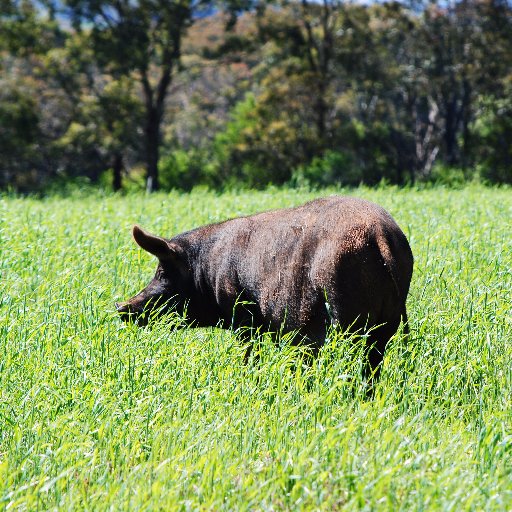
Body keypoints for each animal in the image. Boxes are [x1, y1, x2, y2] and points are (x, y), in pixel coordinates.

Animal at [116, 196, 412, 376]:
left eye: (162, 272)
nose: (121, 307)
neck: (207, 270)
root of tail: (380, 234)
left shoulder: (241, 312)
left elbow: (249, 353)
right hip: (386, 325)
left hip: (341, 313)